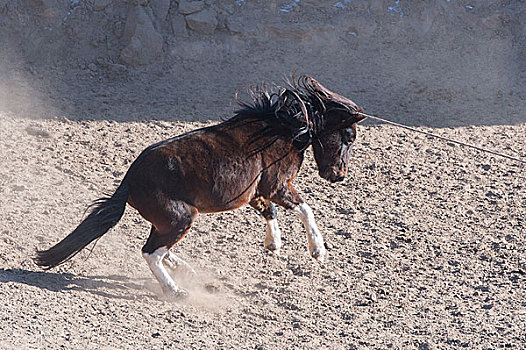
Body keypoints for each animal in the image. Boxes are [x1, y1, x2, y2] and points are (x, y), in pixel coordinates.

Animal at [35, 75, 368, 296]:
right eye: (349, 136)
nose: (338, 175)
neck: (284, 127)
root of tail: (130, 180)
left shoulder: (255, 192)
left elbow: (268, 211)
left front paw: (273, 243)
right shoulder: (276, 185)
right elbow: (304, 209)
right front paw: (318, 250)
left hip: (168, 219)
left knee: (160, 247)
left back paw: (183, 269)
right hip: (181, 217)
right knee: (150, 252)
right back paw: (176, 291)